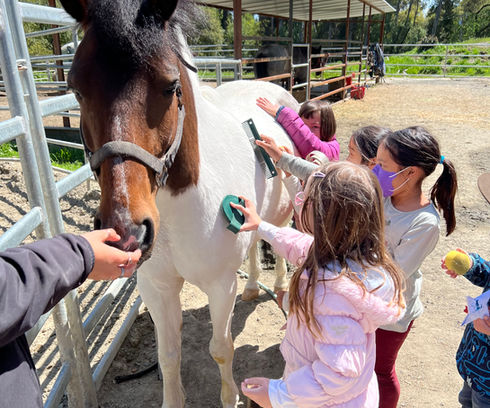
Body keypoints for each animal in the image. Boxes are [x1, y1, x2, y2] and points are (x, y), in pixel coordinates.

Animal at [59, 0, 298, 406]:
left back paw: (278, 284)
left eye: (171, 86)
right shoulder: (156, 288)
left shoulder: (220, 286)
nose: (128, 232)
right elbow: (168, 355)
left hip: (281, 217)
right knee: (253, 247)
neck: (179, 208)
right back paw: (253, 287)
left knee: (277, 243)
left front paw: (231, 397)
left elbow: (222, 349)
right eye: (76, 88)